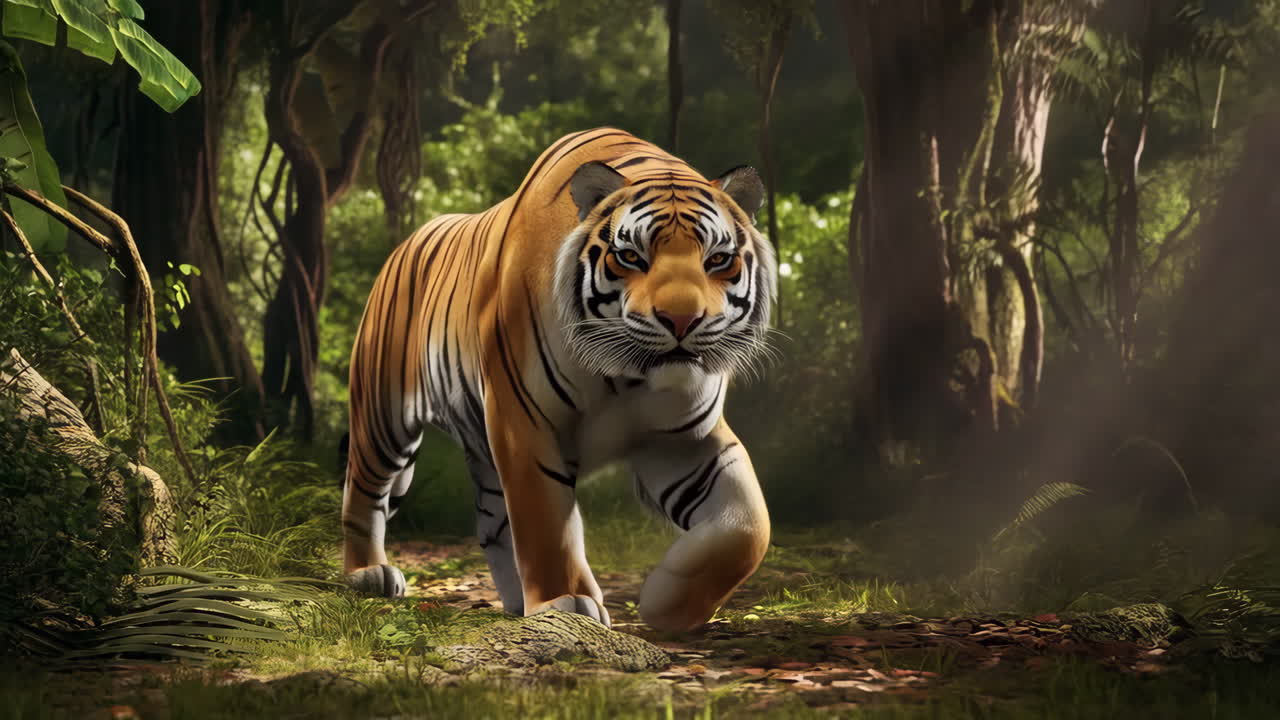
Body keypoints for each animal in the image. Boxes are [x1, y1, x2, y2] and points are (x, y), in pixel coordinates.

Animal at [341, 127, 778, 631]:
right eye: (631, 256)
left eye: (718, 259)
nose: (682, 319)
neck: (627, 375)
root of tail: (405, 243)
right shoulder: (524, 423)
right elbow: (546, 523)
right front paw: (564, 601)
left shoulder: (683, 441)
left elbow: (749, 528)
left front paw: (667, 604)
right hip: (384, 419)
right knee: (363, 491)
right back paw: (367, 574)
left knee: (492, 522)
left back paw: (515, 601)